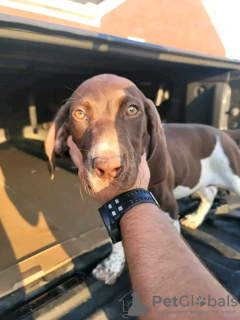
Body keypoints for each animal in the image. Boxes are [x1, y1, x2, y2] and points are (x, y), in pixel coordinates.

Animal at [45, 74, 240, 284]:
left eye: (132, 110)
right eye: (79, 114)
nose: (108, 168)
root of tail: (221, 133)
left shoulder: (168, 207)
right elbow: (116, 242)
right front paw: (112, 266)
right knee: (210, 192)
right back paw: (196, 218)